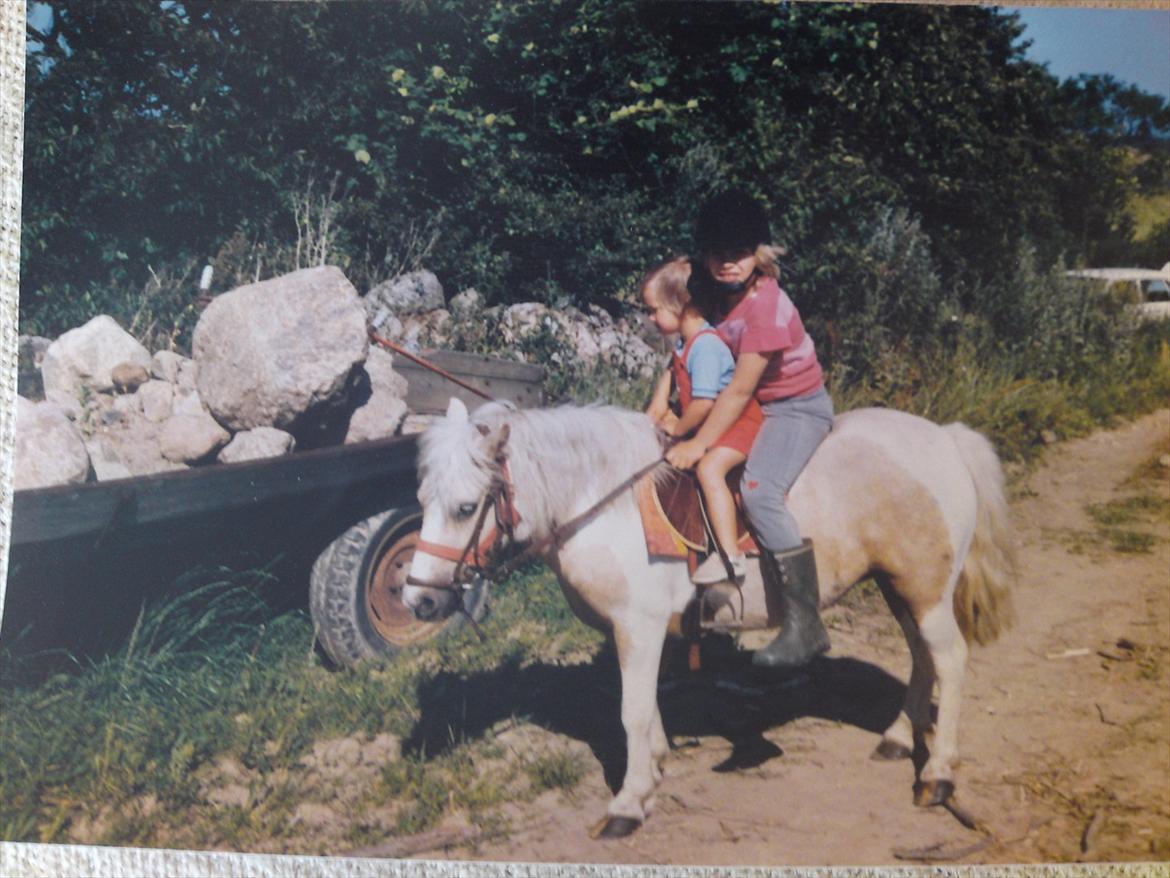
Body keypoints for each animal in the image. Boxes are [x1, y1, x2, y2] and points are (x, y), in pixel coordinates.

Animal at [404, 398, 1015, 838]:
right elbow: (645, 706)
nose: (420, 602)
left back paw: (938, 774)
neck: (605, 503)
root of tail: (946, 438)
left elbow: (631, 712)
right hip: (901, 587)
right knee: (921, 657)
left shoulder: (638, 626)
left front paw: (628, 803)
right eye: (422, 500)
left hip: (926, 589)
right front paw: (654, 768)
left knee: (950, 659)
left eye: (465, 508)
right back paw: (896, 738)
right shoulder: (634, 633)